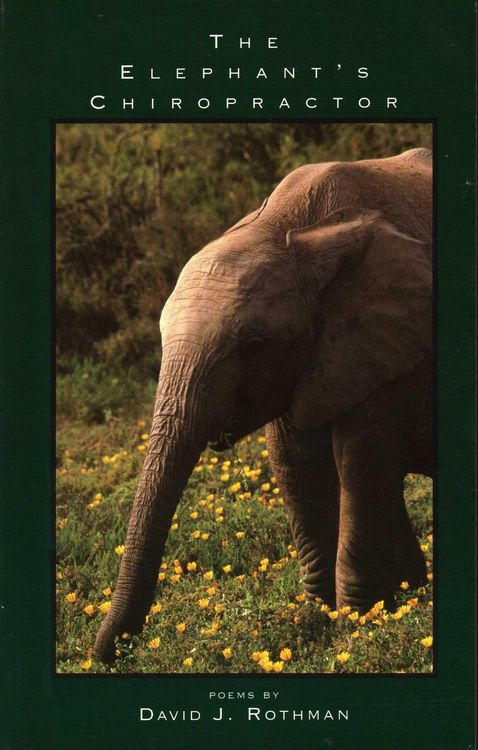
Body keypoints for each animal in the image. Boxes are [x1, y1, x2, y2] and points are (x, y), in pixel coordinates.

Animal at [95, 147, 433, 663]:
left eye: (254, 345)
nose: (112, 653)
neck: (290, 229)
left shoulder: (386, 339)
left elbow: (360, 462)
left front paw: (358, 626)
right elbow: (295, 464)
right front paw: (321, 621)